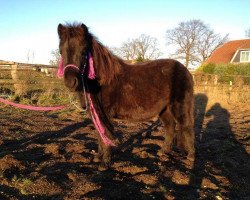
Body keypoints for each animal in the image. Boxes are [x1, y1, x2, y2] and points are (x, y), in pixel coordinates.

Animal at [57, 22, 195, 168]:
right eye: (60, 51)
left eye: (83, 52)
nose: (70, 82)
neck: (102, 81)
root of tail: (185, 70)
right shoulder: (95, 114)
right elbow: (100, 135)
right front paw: (98, 158)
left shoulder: (106, 114)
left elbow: (106, 135)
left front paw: (105, 163)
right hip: (164, 109)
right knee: (170, 127)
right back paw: (163, 152)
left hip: (180, 107)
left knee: (187, 126)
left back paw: (191, 157)